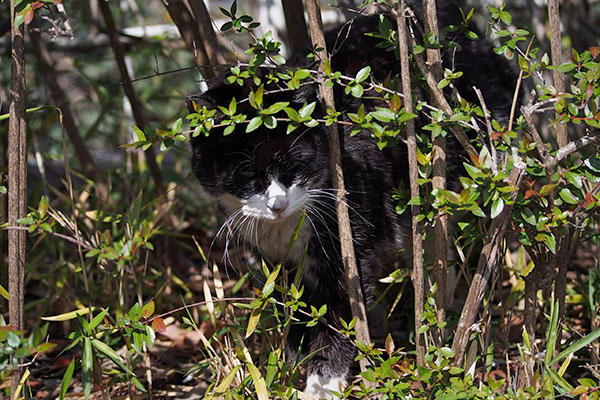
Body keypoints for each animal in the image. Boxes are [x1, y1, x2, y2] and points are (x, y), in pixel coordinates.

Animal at [190, 2, 516, 396]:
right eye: (248, 177)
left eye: (293, 167)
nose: (278, 205)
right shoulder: (283, 265)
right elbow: (297, 309)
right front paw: (292, 358)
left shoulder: (350, 248)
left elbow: (342, 314)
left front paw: (321, 383)